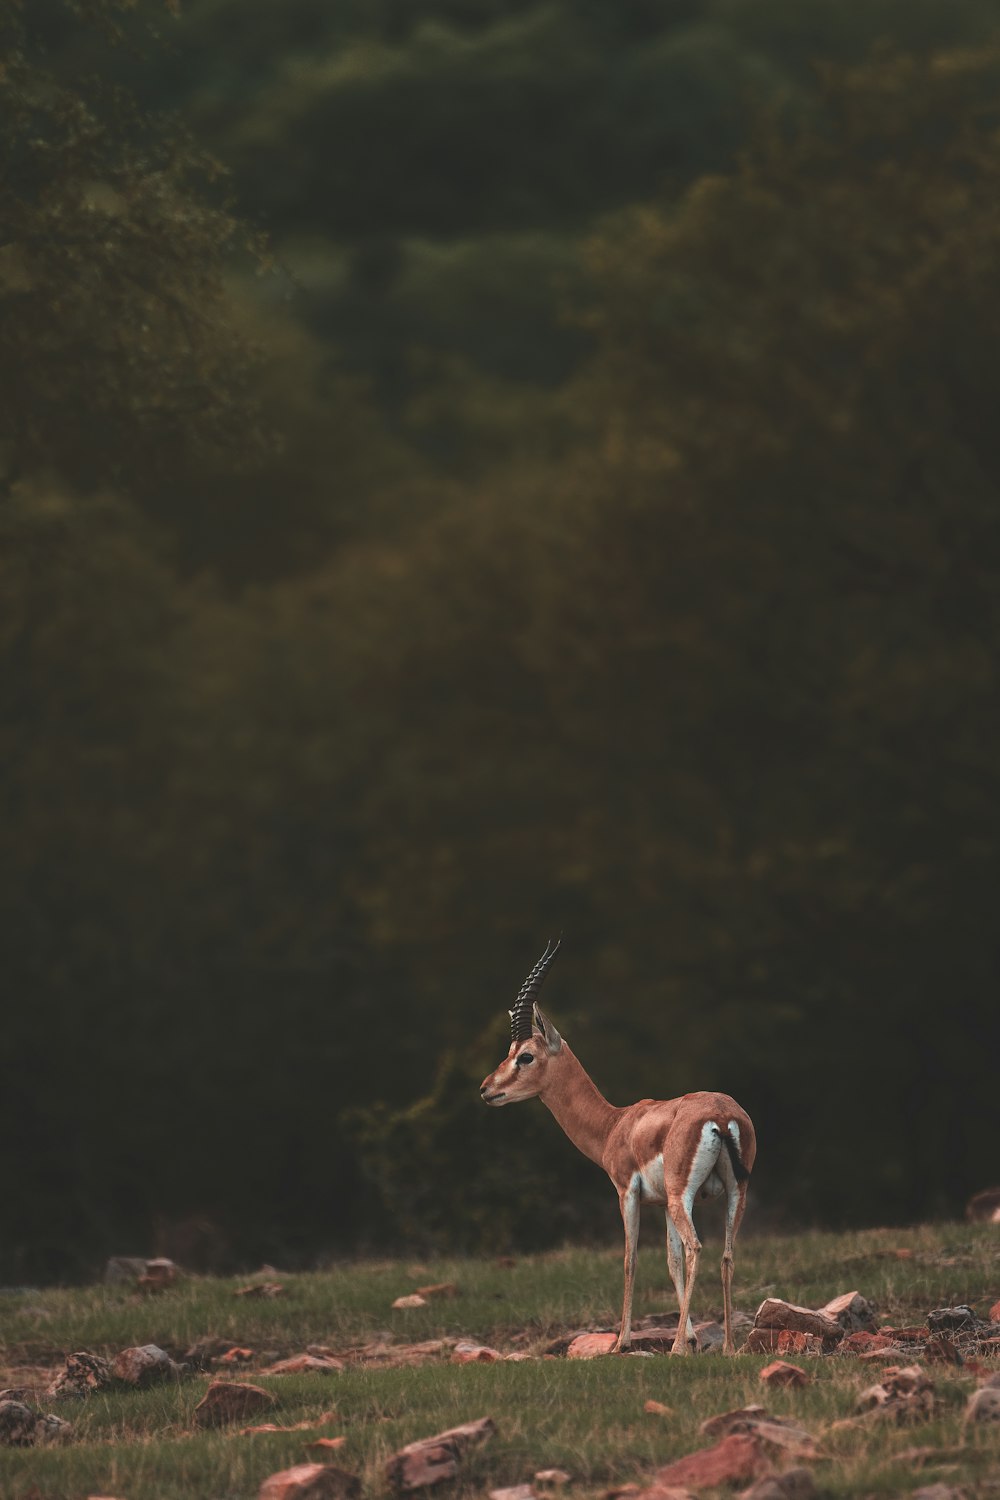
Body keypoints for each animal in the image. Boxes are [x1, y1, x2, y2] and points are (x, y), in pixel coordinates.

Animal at [479, 942, 755, 1356]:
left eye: (524, 1055)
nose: (486, 1089)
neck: (615, 1124)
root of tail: (722, 1116)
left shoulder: (627, 1193)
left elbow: (630, 1259)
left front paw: (621, 1343)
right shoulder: (662, 1204)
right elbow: (670, 1260)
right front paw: (690, 1336)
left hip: (683, 1195)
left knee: (697, 1248)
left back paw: (676, 1348)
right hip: (735, 1192)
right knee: (725, 1253)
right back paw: (726, 1346)